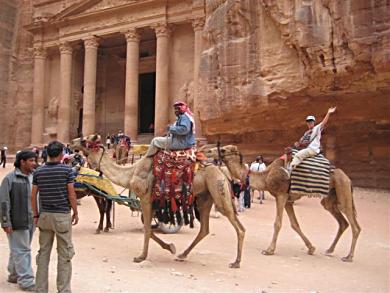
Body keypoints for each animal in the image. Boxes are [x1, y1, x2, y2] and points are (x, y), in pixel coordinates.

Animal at [71, 135, 245, 266]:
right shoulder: (154, 202)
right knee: (205, 229)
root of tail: (224, 174)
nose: (71, 143)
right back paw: (182, 254)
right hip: (204, 197)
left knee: (238, 226)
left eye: (84, 140)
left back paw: (236, 262)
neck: (131, 173)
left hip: (217, 189)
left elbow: (147, 229)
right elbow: (149, 229)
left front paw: (141, 257)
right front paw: (171, 247)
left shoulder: (145, 199)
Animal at [209, 145, 362, 262]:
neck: (265, 177)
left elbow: (278, 223)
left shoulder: (281, 195)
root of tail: (347, 178)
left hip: (343, 189)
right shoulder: (288, 201)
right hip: (330, 198)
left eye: (223, 149)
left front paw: (269, 250)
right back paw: (329, 250)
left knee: (355, 225)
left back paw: (348, 256)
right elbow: (295, 224)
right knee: (342, 222)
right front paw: (311, 248)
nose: (210, 151)